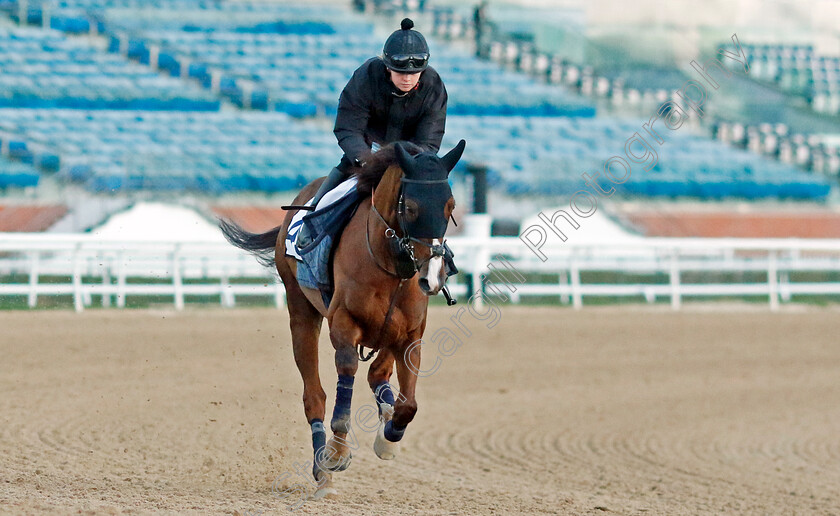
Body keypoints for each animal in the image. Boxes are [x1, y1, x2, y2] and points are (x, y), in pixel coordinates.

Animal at [217, 139, 466, 498]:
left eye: (450, 206)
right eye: (410, 207)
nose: (432, 278)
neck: (390, 265)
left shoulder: (409, 335)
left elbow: (408, 404)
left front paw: (388, 439)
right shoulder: (344, 326)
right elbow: (343, 390)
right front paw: (335, 454)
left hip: (388, 331)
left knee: (378, 375)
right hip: (301, 313)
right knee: (315, 396)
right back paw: (322, 471)